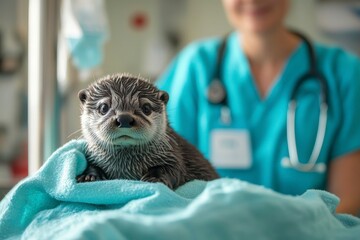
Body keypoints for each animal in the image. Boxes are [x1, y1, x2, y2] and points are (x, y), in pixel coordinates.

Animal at [76, 73, 219, 189]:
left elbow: (173, 169)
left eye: (146, 108)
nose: (124, 118)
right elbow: (92, 165)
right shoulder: (92, 155)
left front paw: (154, 178)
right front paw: (90, 176)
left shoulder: (173, 155)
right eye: (103, 108)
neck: (125, 167)